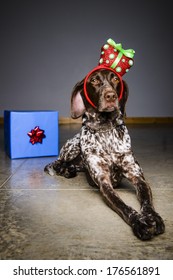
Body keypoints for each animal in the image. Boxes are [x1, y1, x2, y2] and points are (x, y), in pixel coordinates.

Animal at [44, 66, 165, 240]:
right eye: (94, 80)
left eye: (115, 79)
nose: (111, 96)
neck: (105, 130)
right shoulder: (103, 182)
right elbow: (124, 206)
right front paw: (139, 222)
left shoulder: (137, 176)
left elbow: (147, 200)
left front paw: (152, 217)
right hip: (72, 146)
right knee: (56, 161)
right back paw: (62, 169)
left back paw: (69, 170)